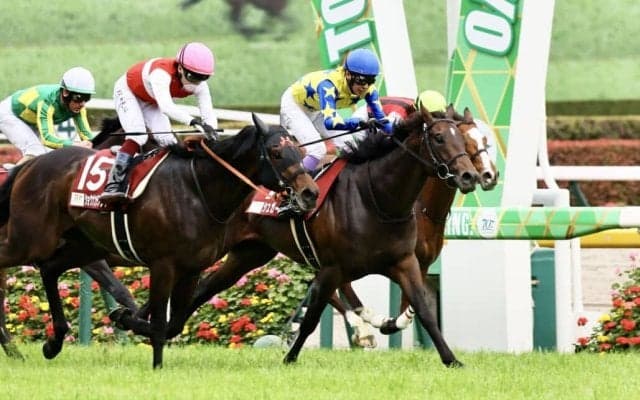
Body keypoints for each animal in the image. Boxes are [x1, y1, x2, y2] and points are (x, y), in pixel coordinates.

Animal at [0, 113, 319, 368]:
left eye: (297, 150)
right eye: (276, 152)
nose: (310, 193)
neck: (198, 189)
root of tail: (29, 165)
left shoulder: (191, 268)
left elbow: (173, 323)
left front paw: (126, 320)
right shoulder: (163, 264)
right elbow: (159, 322)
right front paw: (156, 365)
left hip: (83, 246)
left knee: (49, 269)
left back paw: (53, 343)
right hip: (31, 239)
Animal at [121, 105, 479, 366]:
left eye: (465, 141)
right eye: (439, 137)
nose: (470, 175)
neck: (376, 197)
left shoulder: (404, 261)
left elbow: (425, 309)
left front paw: (452, 360)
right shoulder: (333, 268)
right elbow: (311, 318)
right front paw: (290, 358)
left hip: (248, 254)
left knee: (203, 289)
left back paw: (136, 320)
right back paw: (137, 320)